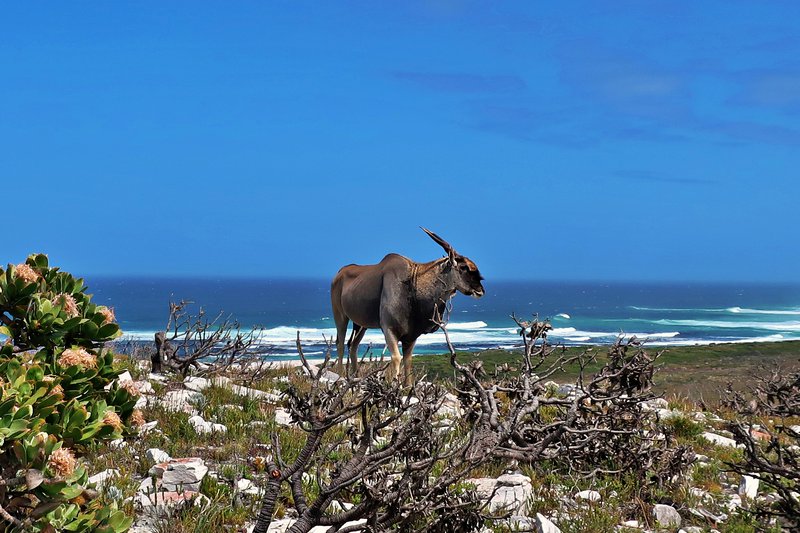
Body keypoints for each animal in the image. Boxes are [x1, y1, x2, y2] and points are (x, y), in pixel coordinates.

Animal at [328, 228, 484, 382]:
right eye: (464, 267)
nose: (481, 289)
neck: (412, 282)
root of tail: (339, 273)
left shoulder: (411, 337)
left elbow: (408, 363)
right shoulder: (389, 329)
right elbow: (396, 358)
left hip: (361, 325)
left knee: (353, 345)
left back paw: (354, 376)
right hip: (340, 315)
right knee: (340, 344)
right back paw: (340, 377)